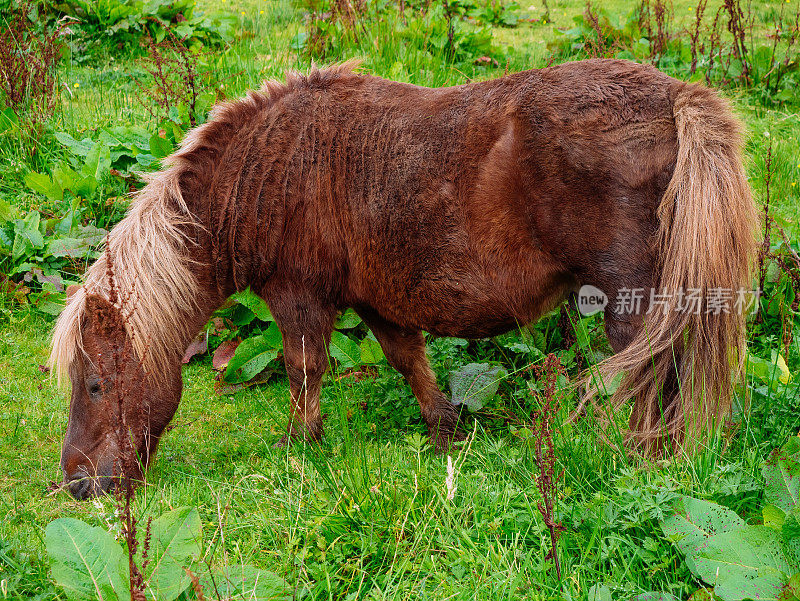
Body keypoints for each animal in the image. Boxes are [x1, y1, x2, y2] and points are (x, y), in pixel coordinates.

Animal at [51, 58, 756, 496]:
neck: (264, 172)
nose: (78, 484)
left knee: (648, 375)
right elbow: (408, 361)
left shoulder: (299, 297)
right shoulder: (377, 301)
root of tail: (676, 99)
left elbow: (305, 369)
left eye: (95, 384)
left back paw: (637, 456)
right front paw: (445, 430)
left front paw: (300, 445)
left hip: (629, 302)